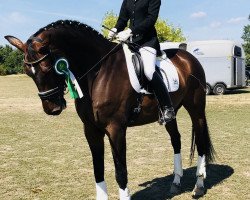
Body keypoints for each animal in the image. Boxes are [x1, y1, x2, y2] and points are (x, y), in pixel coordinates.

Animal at [4, 19, 214, 198]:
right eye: (27, 71)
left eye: (48, 67)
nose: (52, 108)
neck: (99, 72)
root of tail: (189, 58)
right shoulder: (91, 130)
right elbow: (98, 170)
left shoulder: (116, 129)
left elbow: (120, 172)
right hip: (171, 112)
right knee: (176, 140)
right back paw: (176, 182)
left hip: (196, 109)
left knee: (201, 142)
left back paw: (198, 185)